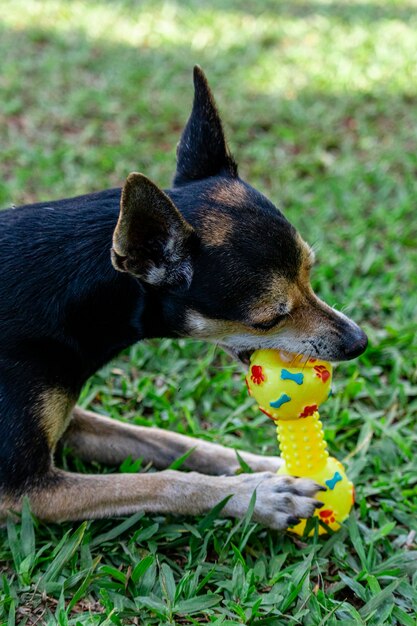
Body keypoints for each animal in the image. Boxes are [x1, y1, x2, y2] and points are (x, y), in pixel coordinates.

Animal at [0, 67, 364, 528]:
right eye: (267, 319)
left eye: (310, 273)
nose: (360, 342)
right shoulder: (25, 490)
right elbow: (160, 481)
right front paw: (257, 495)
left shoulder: (71, 421)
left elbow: (168, 442)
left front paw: (264, 465)